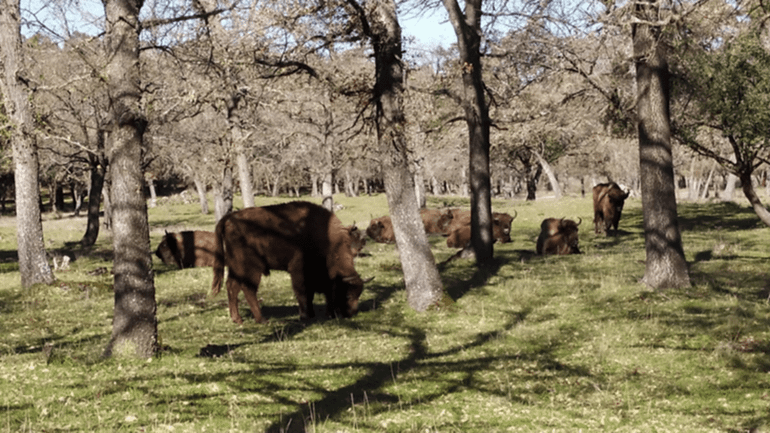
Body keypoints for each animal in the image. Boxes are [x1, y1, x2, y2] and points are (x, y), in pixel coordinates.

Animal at [210, 202, 366, 324]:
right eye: (347, 294)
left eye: (359, 295)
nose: (352, 313)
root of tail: (228, 219)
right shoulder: (298, 270)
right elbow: (302, 291)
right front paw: (305, 316)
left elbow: (315, 293)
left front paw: (315, 314)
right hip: (252, 268)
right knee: (248, 289)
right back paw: (262, 320)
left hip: (235, 267)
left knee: (232, 286)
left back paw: (237, 319)